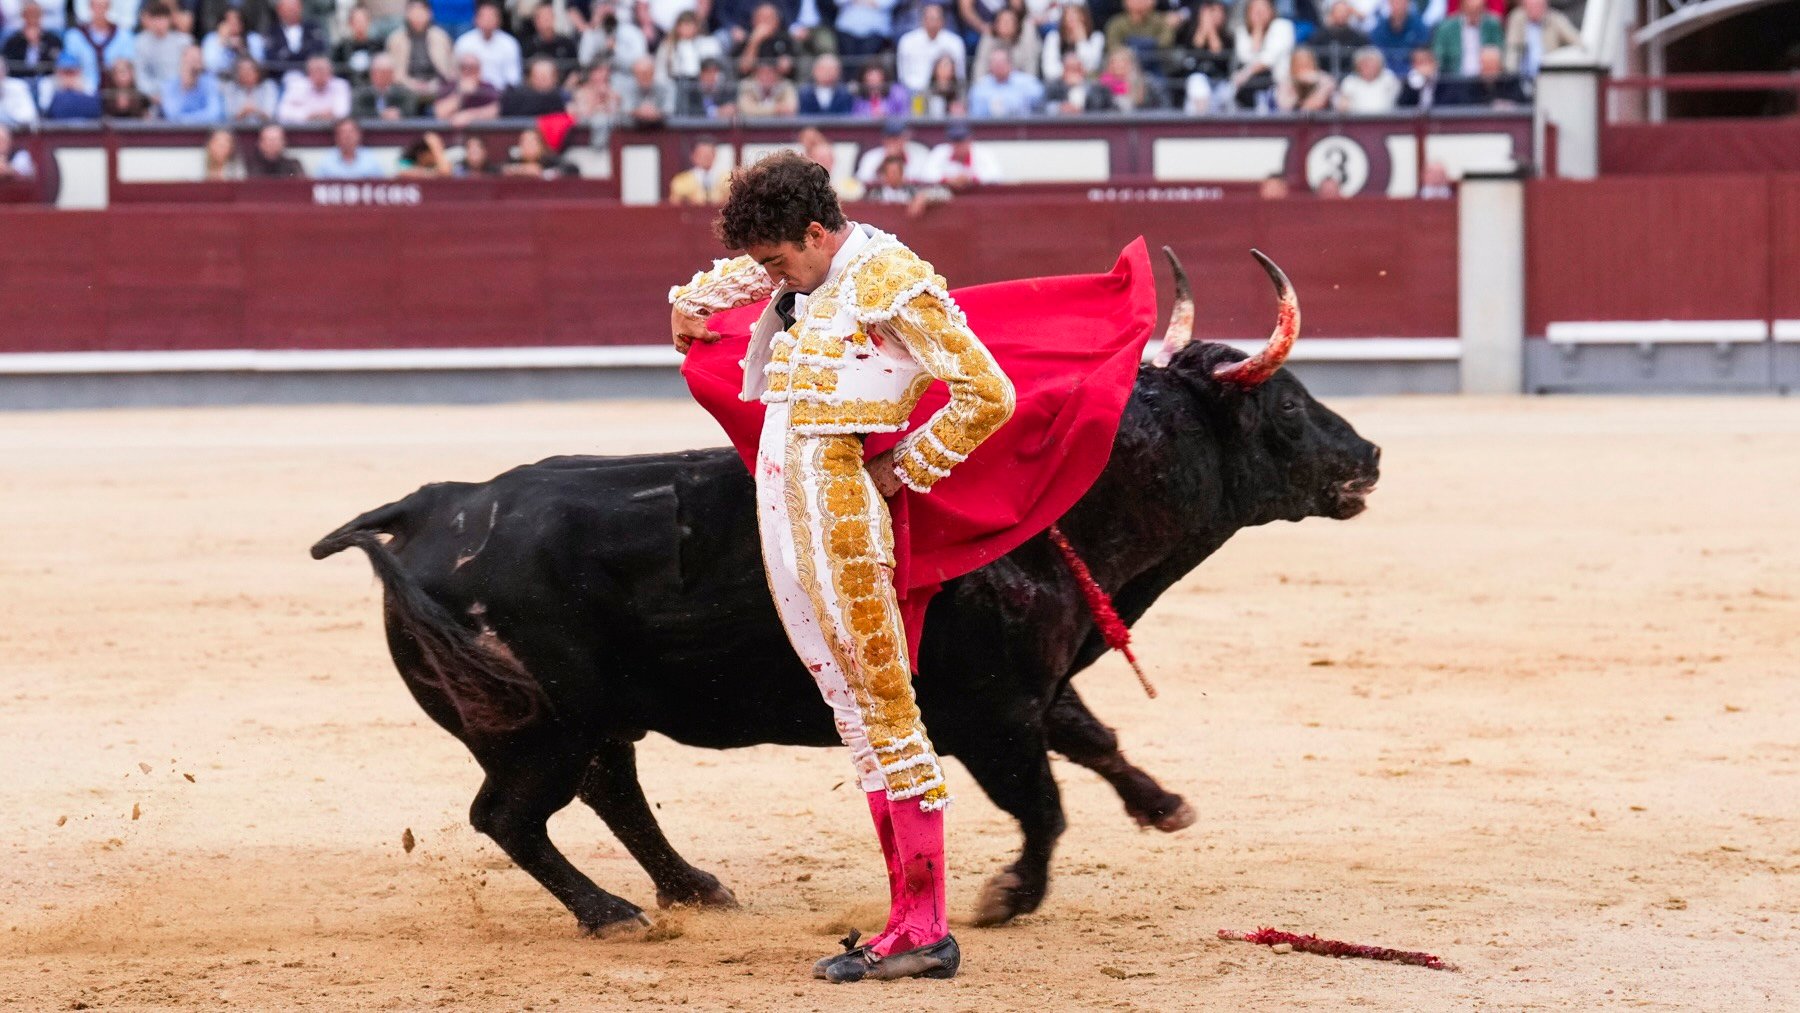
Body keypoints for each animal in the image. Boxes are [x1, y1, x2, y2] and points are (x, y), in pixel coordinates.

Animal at [313, 275, 1375, 935]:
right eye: (1288, 407)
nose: (1367, 454)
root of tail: (432, 505)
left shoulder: (1036, 688)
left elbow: (1096, 741)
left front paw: (1163, 805)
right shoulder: (989, 713)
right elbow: (1044, 802)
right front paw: (1008, 896)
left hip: (590, 718)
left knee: (608, 792)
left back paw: (695, 888)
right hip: (540, 724)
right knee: (512, 815)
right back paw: (613, 914)